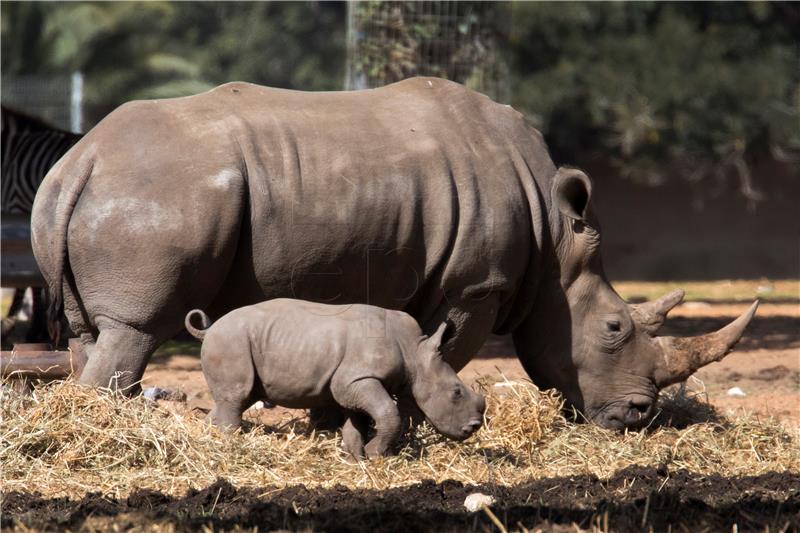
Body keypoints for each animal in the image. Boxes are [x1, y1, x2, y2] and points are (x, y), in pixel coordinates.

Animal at [187, 300, 484, 458]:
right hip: (231, 341)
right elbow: (390, 413)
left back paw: (209, 436)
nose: (473, 427)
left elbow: (357, 420)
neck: (415, 352)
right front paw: (376, 454)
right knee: (236, 398)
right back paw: (231, 445)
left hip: (237, 342)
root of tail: (209, 329)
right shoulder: (357, 378)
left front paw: (356, 457)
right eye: (456, 392)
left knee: (237, 398)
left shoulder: (354, 384)